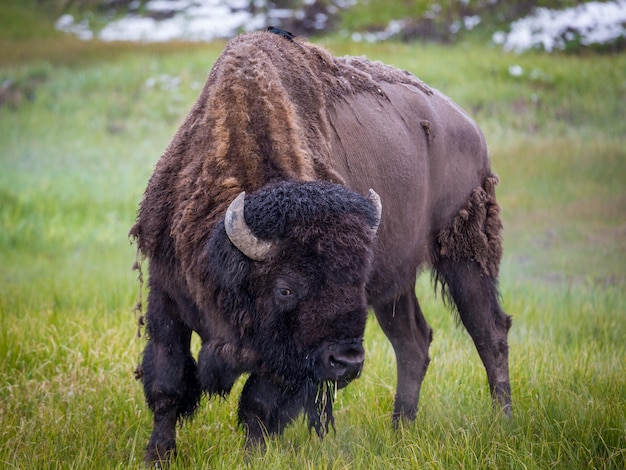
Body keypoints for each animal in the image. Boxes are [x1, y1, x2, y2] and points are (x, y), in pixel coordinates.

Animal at [129, 29, 510, 462]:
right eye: (285, 288)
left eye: (354, 283)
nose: (346, 362)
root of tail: (469, 127)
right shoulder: (167, 297)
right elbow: (168, 384)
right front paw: (157, 455)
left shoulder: (288, 355)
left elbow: (258, 404)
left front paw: (252, 458)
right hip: (398, 283)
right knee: (414, 342)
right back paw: (400, 429)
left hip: (464, 256)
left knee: (489, 333)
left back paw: (503, 424)